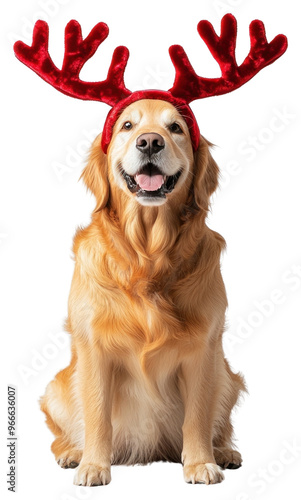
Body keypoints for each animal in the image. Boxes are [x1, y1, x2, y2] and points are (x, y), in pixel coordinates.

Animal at [39, 97, 245, 484]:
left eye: (175, 127)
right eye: (127, 126)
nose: (150, 142)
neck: (147, 257)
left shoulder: (204, 350)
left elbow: (198, 416)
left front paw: (200, 463)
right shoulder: (94, 349)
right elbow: (97, 414)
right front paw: (93, 465)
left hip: (226, 375)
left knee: (220, 423)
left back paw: (224, 452)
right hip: (55, 389)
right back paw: (73, 453)